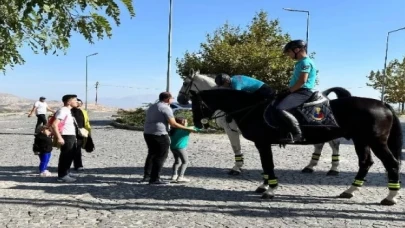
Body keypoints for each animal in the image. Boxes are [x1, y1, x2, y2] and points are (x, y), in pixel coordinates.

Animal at [177, 70, 340, 175]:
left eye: (185, 83)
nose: (180, 99)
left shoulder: (231, 130)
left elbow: (236, 148)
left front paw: (237, 167)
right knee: (320, 144)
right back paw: (311, 166)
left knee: (334, 144)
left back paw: (333, 169)